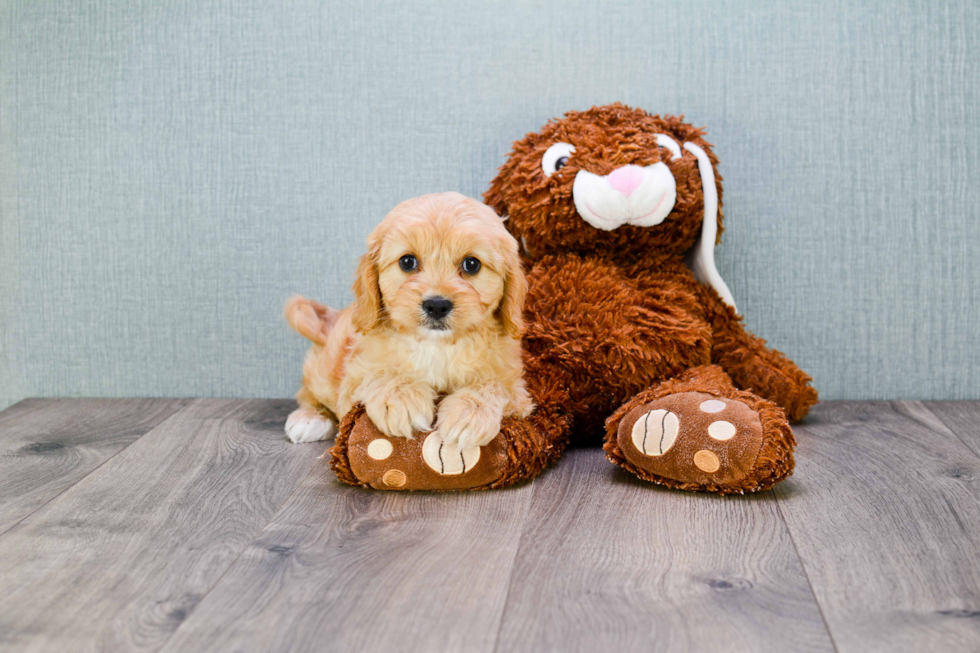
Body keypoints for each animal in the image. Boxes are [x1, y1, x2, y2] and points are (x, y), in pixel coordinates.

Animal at [284, 191, 532, 450]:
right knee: (308, 391)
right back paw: (309, 419)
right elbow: (378, 373)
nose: (436, 305)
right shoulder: (354, 377)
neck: (437, 345)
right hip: (323, 370)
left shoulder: (517, 388)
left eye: (472, 264)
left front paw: (470, 412)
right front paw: (401, 397)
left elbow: (495, 384)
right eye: (407, 261)